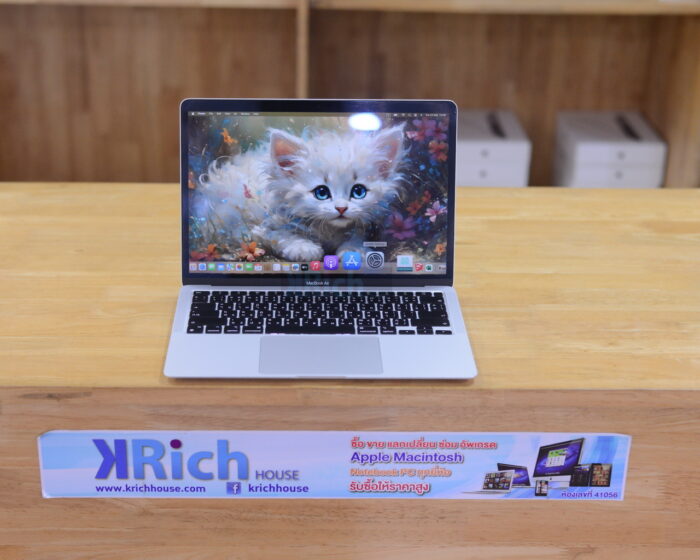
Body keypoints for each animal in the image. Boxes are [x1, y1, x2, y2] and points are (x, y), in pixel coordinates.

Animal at [200, 124, 407, 262]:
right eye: (321, 192)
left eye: (358, 191)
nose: (341, 208)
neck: (328, 231)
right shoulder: (258, 229)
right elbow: (283, 235)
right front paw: (303, 248)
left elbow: (357, 236)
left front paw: (353, 250)